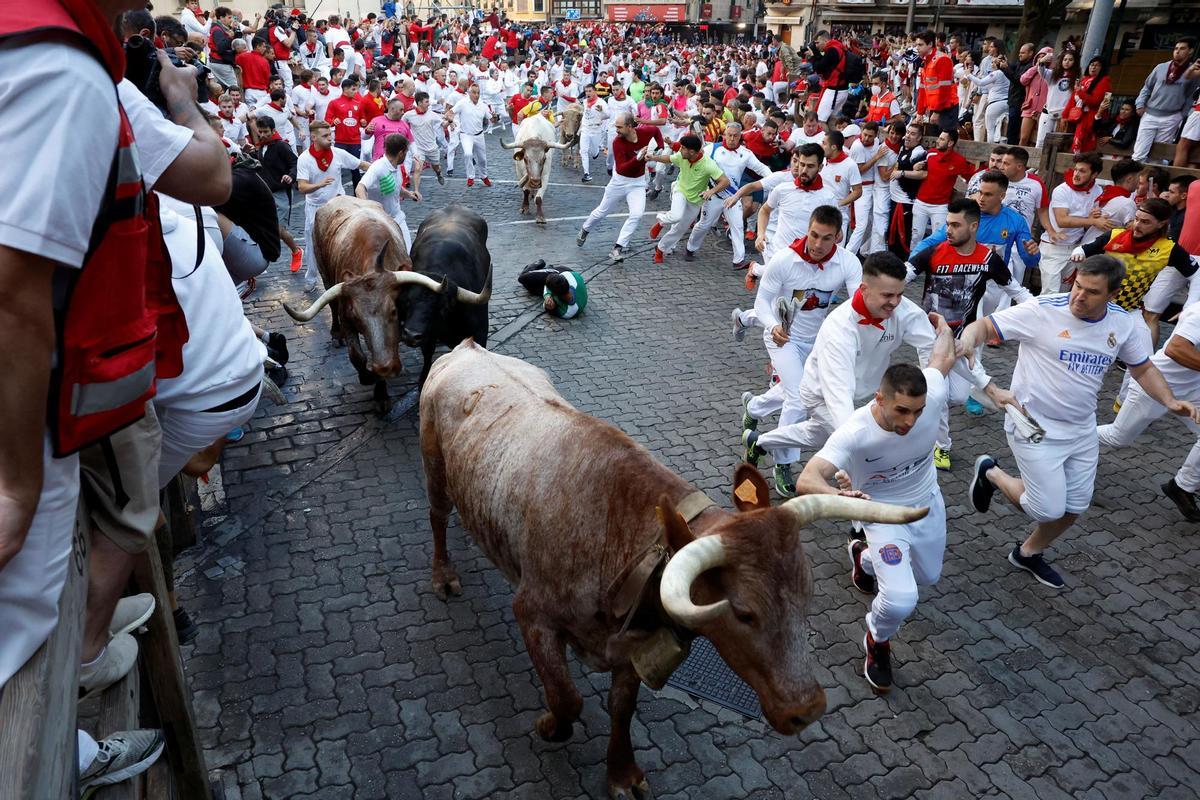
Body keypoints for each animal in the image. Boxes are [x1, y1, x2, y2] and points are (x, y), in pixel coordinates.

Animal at [280, 196, 487, 410]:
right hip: (324, 274)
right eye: (356, 316)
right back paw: (336, 334)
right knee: (333, 307)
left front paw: (381, 392)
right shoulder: (347, 318)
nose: (387, 367)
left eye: (395, 310)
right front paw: (370, 381)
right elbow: (357, 354)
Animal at [420, 343, 926, 800]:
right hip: (435, 468)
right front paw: (549, 725)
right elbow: (567, 697)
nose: (809, 708)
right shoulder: (532, 613)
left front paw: (623, 774)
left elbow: (621, 707)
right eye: (743, 612)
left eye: (807, 597)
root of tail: (467, 349)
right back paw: (443, 575)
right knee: (437, 517)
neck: (613, 527)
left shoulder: (633, 645)